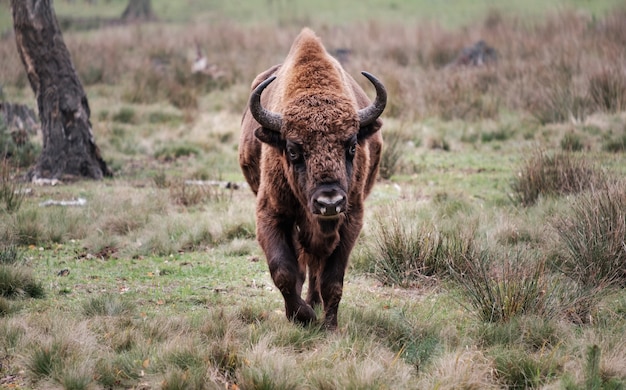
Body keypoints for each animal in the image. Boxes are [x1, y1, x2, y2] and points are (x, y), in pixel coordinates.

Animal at [239, 27, 386, 330]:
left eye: (352, 145)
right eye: (293, 149)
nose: (329, 202)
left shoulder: (351, 218)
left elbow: (332, 280)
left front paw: (328, 324)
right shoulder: (271, 214)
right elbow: (284, 271)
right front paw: (302, 316)